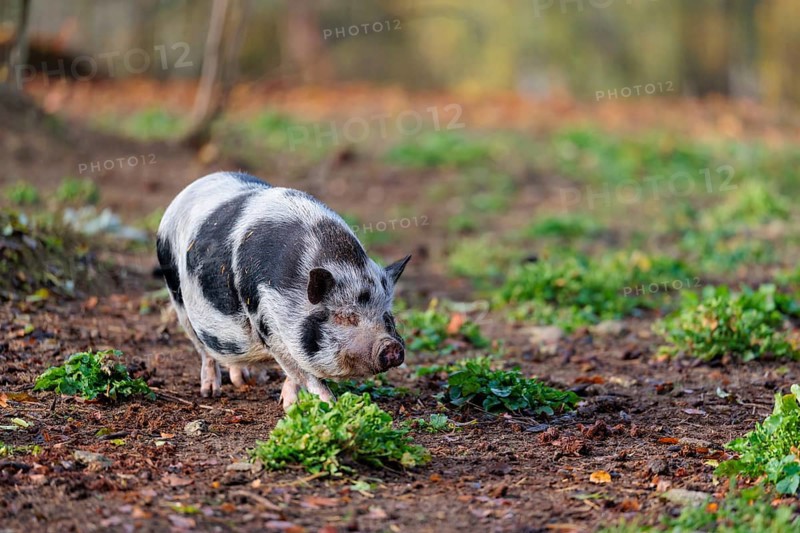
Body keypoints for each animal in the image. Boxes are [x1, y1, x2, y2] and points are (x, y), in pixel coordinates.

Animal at [156, 171, 410, 409]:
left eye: (387, 317)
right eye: (345, 316)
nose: (391, 345)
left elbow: (296, 374)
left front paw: (289, 405)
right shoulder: (267, 323)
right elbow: (303, 373)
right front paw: (331, 406)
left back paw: (244, 381)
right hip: (177, 295)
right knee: (203, 349)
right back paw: (210, 392)